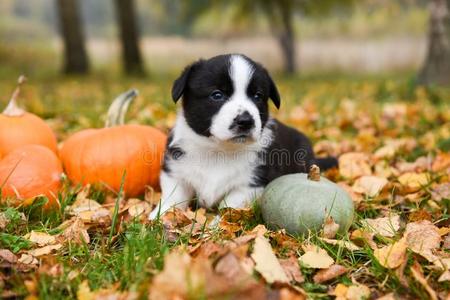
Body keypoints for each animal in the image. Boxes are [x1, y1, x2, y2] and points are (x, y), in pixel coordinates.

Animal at [149, 53, 336, 220]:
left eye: (257, 96)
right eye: (217, 95)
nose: (246, 121)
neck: (218, 150)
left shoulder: (252, 184)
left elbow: (230, 206)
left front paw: (217, 225)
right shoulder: (175, 171)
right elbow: (173, 197)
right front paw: (159, 216)